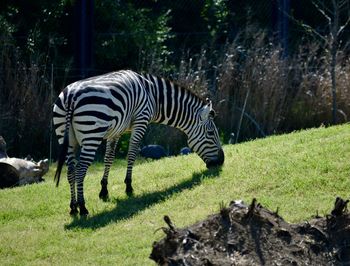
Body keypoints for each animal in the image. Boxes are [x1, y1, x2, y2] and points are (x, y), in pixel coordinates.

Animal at [53, 69, 226, 215]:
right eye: (211, 133)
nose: (221, 161)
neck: (154, 97)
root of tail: (71, 96)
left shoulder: (116, 130)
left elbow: (109, 158)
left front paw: (104, 190)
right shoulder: (140, 121)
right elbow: (131, 154)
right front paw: (128, 187)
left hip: (65, 136)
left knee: (70, 170)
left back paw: (73, 207)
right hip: (92, 134)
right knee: (80, 169)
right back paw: (82, 207)